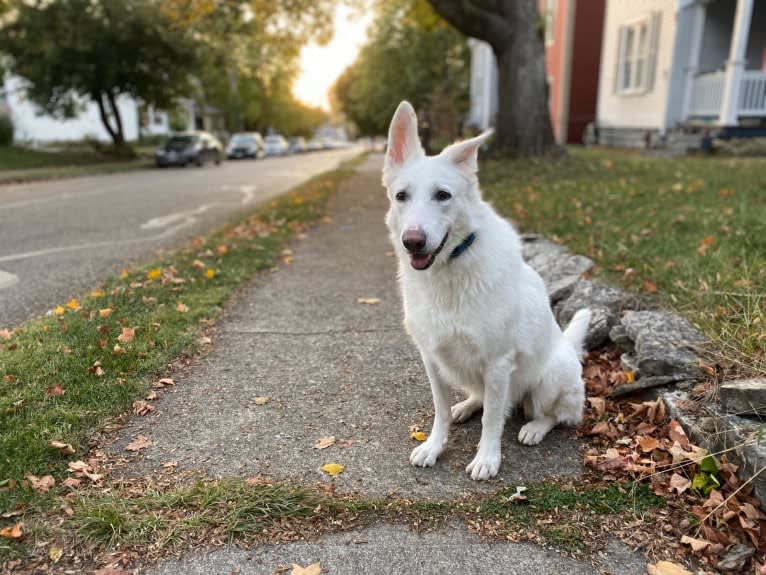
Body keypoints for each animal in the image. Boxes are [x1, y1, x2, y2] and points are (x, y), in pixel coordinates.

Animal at [384, 101, 592, 480]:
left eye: (443, 195)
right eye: (401, 196)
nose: (413, 242)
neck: (450, 269)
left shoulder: (497, 363)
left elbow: (493, 420)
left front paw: (487, 458)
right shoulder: (432, 358)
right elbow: (440, 411)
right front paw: (435, 446)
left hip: (548, 380)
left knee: (555, 415)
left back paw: (534, 428)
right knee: (485, 400)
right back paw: (466, 406)